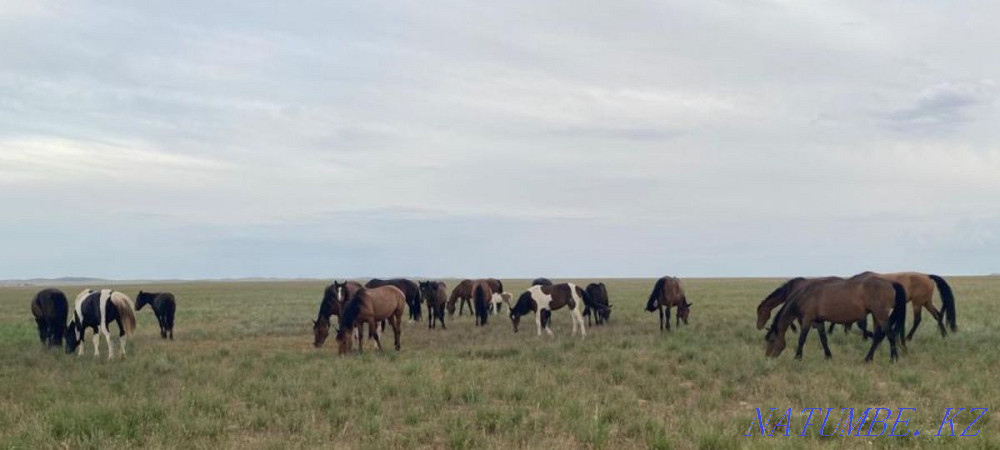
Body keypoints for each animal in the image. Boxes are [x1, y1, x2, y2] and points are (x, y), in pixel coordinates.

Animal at [764, 273, 907, 362]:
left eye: (771, 340)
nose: (767, 357)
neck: (806, 296)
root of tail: (890, 283)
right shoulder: (819, 321)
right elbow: (824, 339)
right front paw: (828, 356)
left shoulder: (807, 320)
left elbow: (802, 339)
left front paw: (797, 357)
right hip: (876, 316)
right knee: (877, 337)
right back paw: (868, 359)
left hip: (881, 315)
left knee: (890, 335)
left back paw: (893, 359)